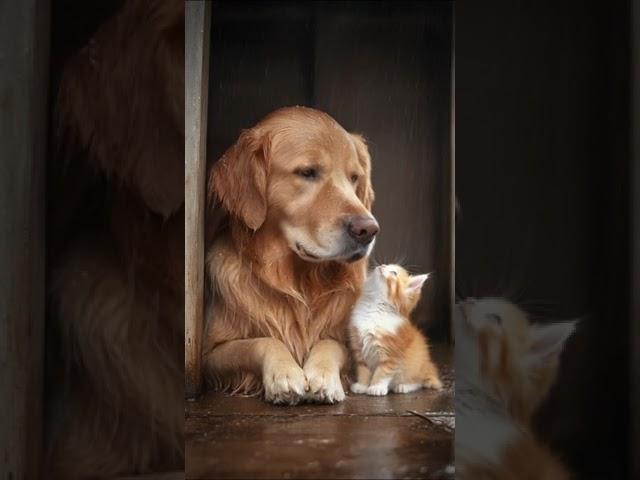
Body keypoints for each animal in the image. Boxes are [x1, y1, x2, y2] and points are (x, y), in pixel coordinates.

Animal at [348, 264, 442, 396]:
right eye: (387, 265)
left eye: (394, 273)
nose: (382, 265)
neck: (374, 309)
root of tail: (427, 366)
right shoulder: (359, 350)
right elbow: (363, 370)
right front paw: (362, 385)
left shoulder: (391, 355)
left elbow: (382, 372)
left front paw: (376, 387)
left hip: (413, 365)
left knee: (418, 381)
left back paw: (404, 386)